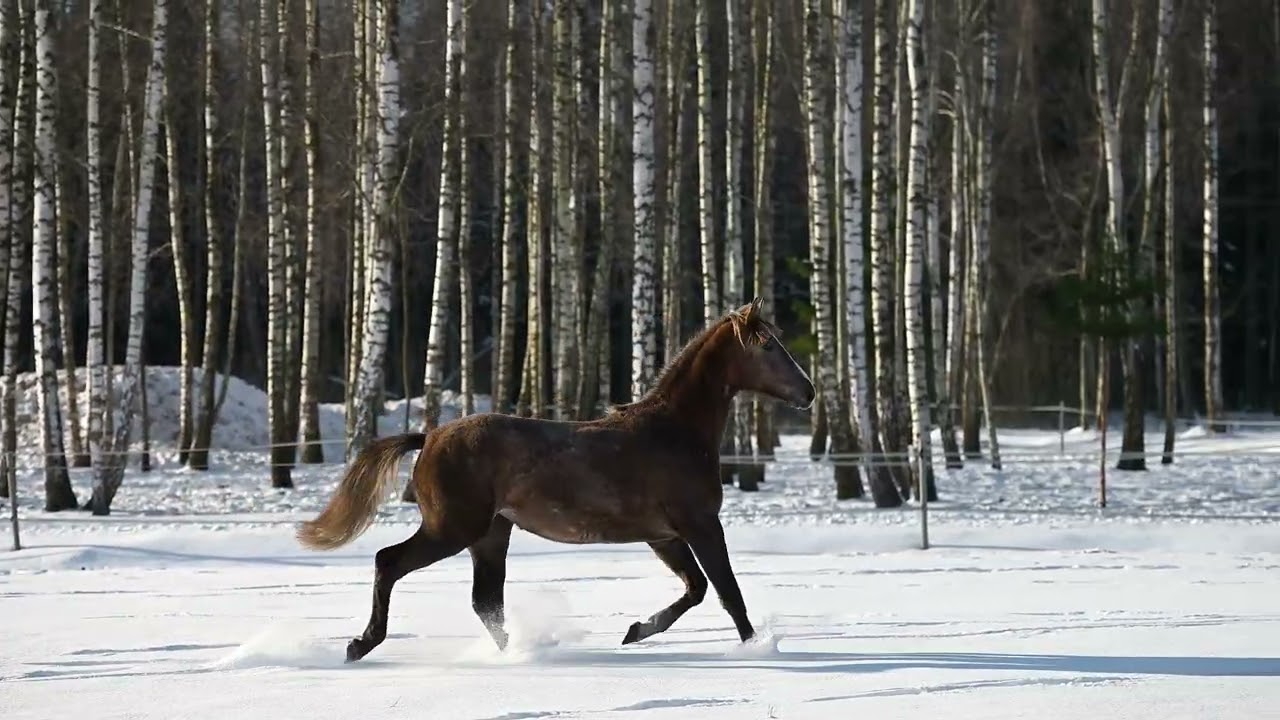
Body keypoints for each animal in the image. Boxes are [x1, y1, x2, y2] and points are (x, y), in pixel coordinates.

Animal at [296, 297, 816, 663]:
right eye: (768, 346)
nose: (809, 392)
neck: (675, 431)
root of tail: (430, 436)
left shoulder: (664, 536)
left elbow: (697, 589)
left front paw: (635, 631)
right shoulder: (700, 524)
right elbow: (728, 591)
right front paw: (757, 648)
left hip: (491, 533)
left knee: (486, 600)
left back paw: (522, 652)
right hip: (453, 529)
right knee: (389, 562)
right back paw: (361, 644)